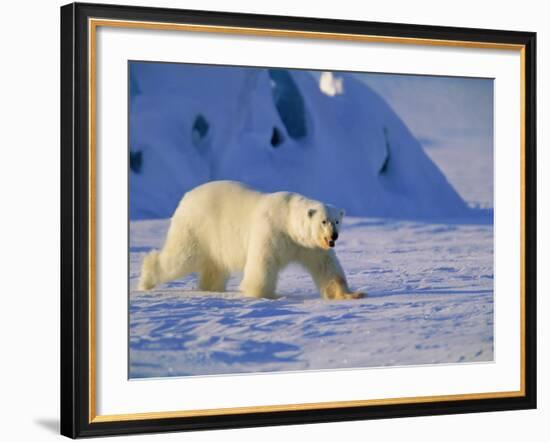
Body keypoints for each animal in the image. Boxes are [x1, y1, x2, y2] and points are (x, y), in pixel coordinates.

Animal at [139, 180, 366, 300]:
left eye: (337, 221)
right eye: (323, 221)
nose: (334, 236)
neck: (286, 218)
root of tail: (186, 197)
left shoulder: (309, 246)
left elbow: (326, 266)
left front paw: (352, 294)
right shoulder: (271, 231)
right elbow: (263, 263)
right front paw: (265, 294)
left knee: (214, 266)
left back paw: (212, 288)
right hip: (197, 228)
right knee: (181, 257)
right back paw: (146, 281)